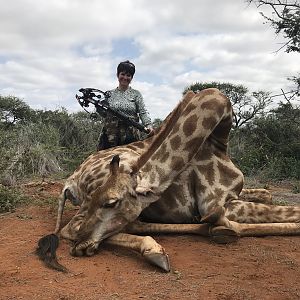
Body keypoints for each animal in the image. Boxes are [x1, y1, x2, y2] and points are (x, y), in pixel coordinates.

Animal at [37, 88, 300, 272]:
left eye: (111, 203)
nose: (79, 247)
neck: (219, 140)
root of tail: (70, 181)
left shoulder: (234, 195)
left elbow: (269, 195)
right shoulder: (217, 202)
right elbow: (290, 210)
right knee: (73, 228)